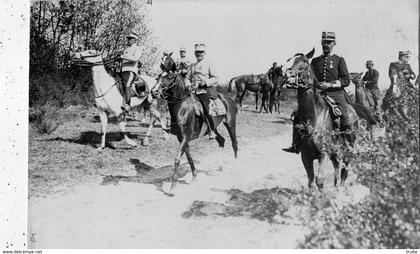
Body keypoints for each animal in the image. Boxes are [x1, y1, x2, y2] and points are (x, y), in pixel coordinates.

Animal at [155, 54, 240, 191]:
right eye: (158, 75)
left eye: (169, 77)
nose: (154, 92)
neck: (182, 106)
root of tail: (229, 98)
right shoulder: (181, 138)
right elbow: (189, 157)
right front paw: (194, 176)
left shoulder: (185, 136)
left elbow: (177, 158)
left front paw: (173, 185)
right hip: (214, 128)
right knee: (221, 140)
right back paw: (221, 167)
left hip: (230, 124)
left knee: (234, 143)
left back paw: (235, 166)